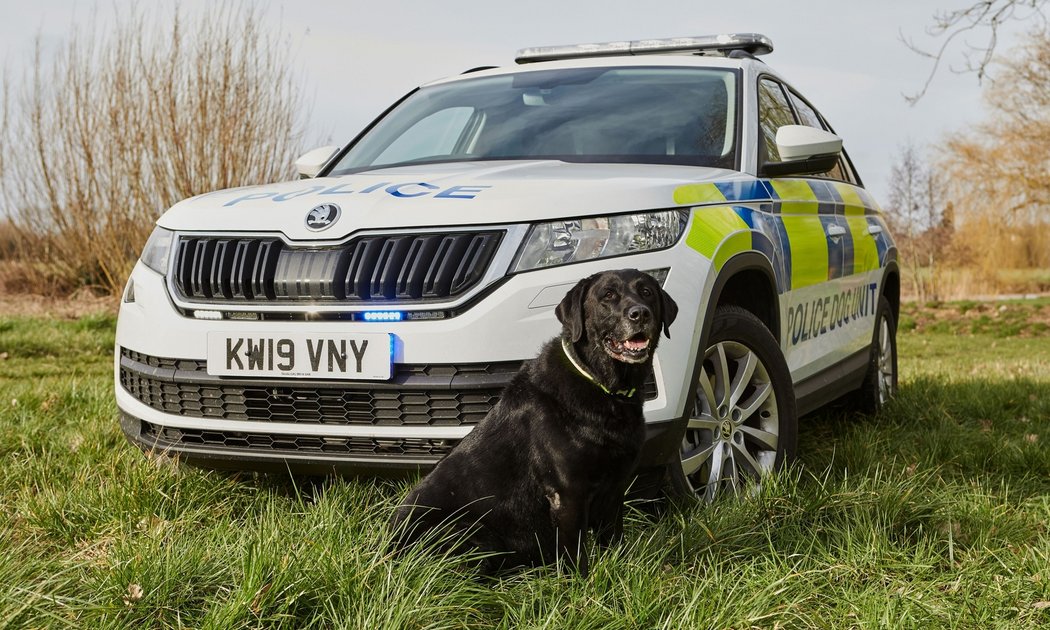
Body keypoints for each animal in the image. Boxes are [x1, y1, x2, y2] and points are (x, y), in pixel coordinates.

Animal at [390, 268, 676, 575]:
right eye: (608, 295)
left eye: (647, 292)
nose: (640, 313)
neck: (602, 386)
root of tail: (389, 549)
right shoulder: (568, 494)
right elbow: (575, 557)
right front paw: (580, 584)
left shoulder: (614, 489)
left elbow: (614, 541)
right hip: (468, 531)